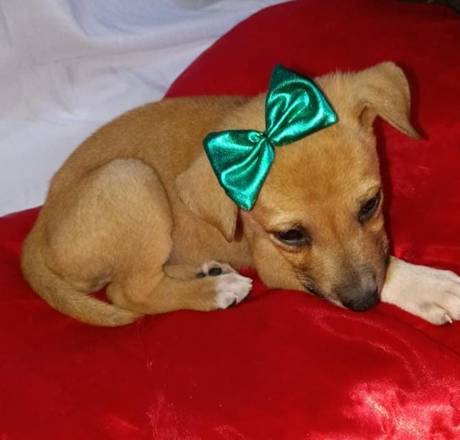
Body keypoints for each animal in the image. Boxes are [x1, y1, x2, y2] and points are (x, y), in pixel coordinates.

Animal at [21, 62, 460, 326]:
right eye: (290, 235)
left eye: (371, 205)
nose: (365, 302)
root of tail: (38, 231)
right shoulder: (275, 264)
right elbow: (384, 268)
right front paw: (429, 286)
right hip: (128, 178)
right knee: (128, 291)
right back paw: (214, 290)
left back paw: (207, 271)